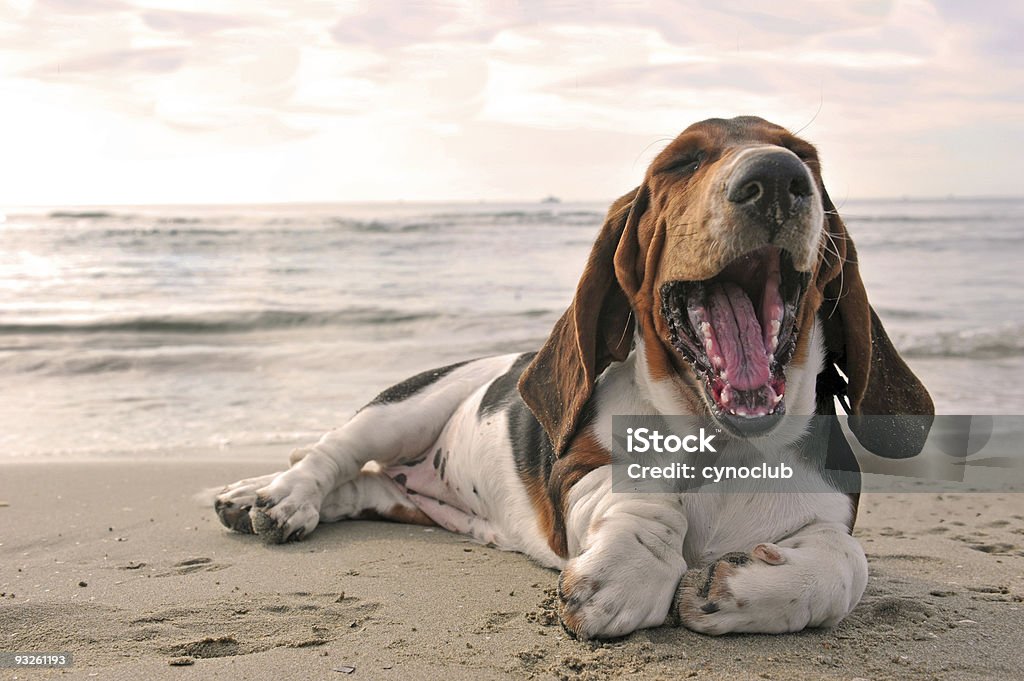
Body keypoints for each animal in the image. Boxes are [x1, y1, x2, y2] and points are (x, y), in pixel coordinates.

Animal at [211, 116, 933, 639]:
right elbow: (646, 501)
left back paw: (257, 497)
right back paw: (274, 498)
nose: (778, 177)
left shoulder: (832, 512)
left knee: (358, 489)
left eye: (804, 156)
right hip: (406, 407)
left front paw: (732, 591)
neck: (723, 438)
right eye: (680, 163)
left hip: (407, 496)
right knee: (330, 455)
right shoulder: (578, 472)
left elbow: (848, 563)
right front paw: (625, 575)